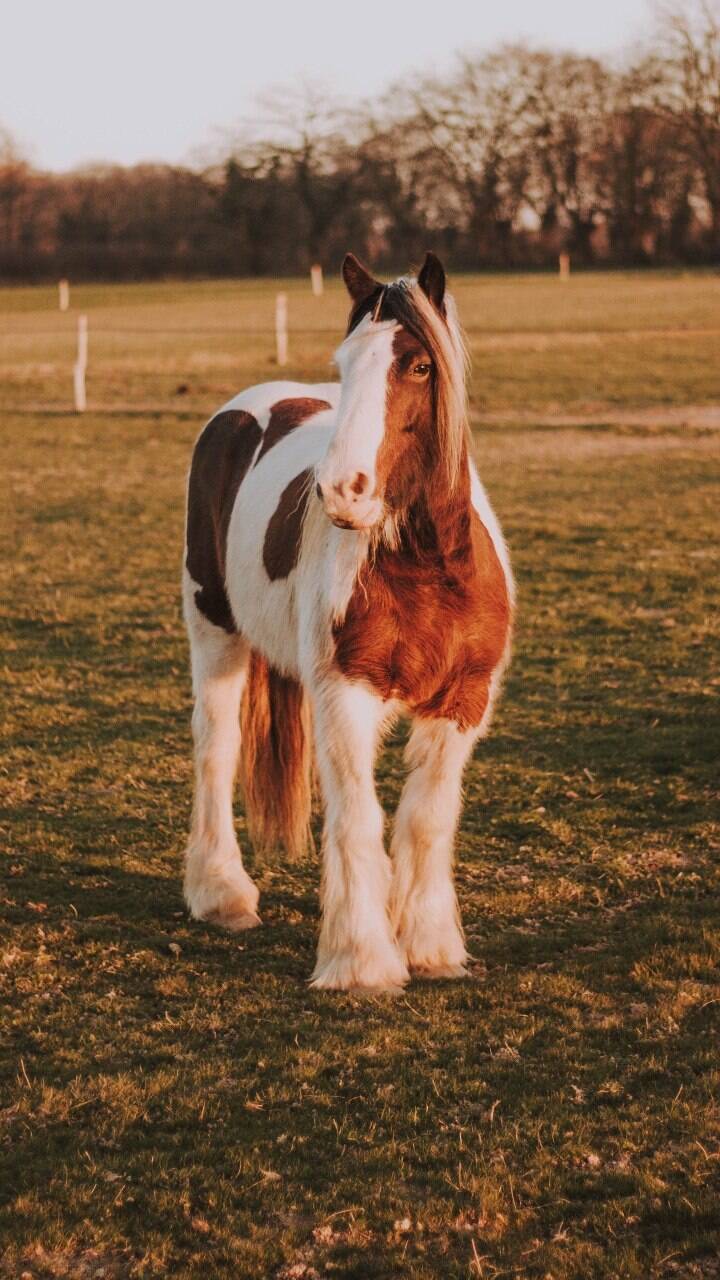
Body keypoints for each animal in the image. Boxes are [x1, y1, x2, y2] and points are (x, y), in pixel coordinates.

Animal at [181, 249, 512, 988]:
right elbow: (359, 817)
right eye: (344, 363)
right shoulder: (345, 692)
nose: (340, 491)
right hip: (214, 630)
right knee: (216, 750)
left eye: (418, 366)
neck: (428, 568)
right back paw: (221, 893)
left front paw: (430, 945)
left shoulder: (464, 701)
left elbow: (426, 819)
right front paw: (361, 961)